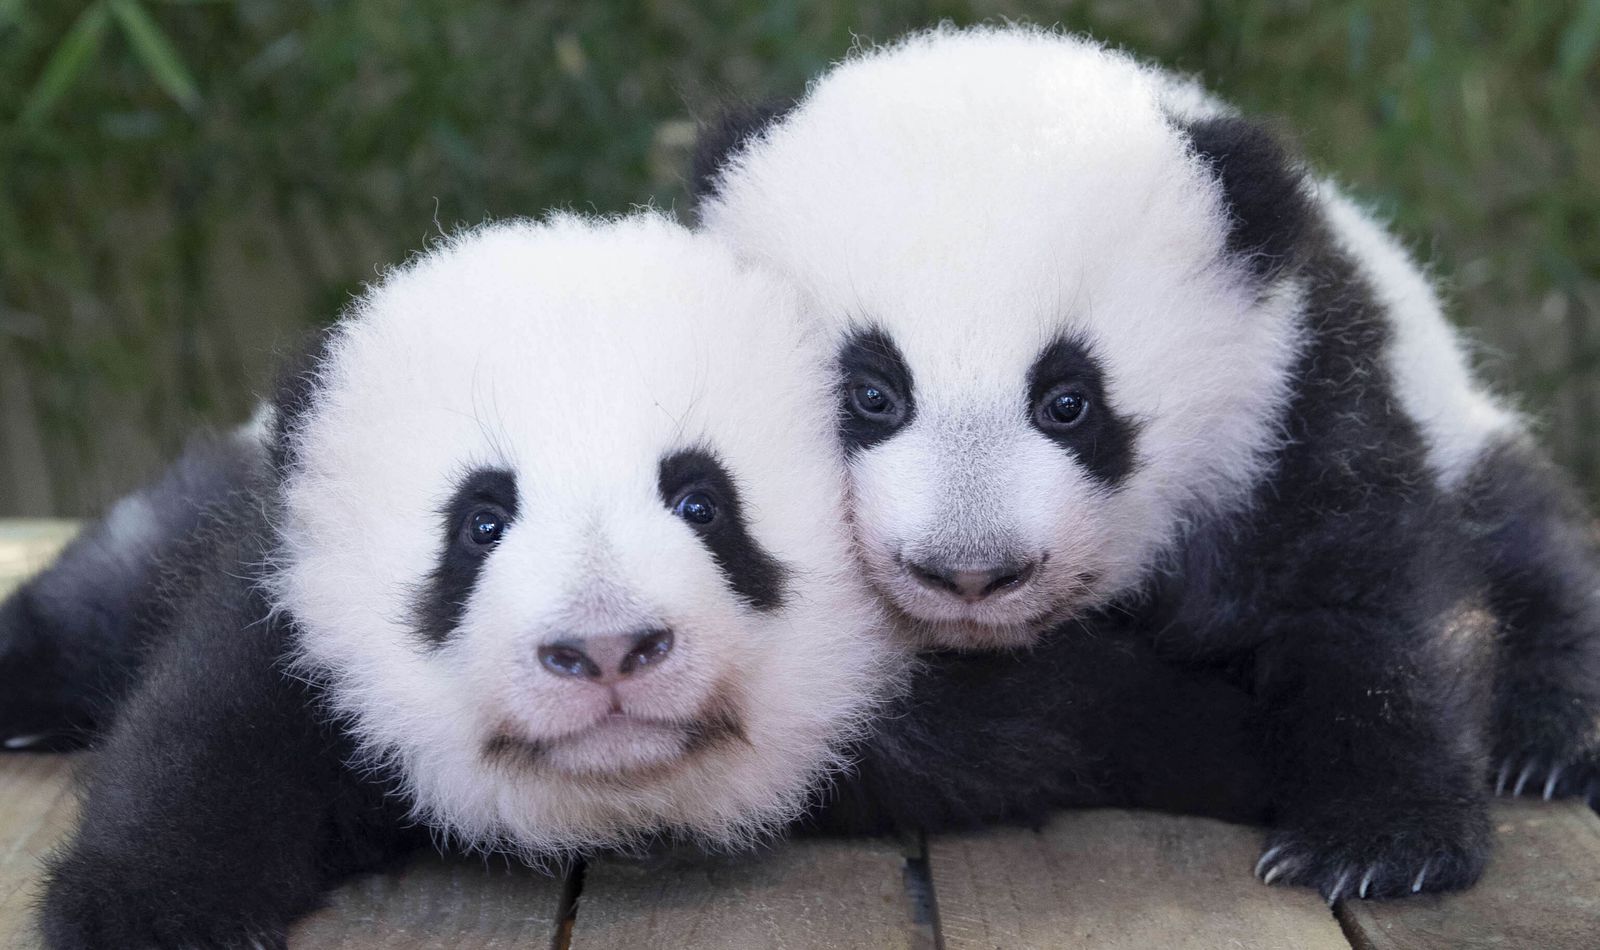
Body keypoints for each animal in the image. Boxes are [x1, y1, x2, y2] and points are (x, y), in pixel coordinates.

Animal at [28, 213, 909, 948]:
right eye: (480, 524)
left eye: (703, 505)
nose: (606, 649)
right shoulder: (292, 629)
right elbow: (208, 746)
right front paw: (143, 914)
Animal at [693, 24, 1600, 900]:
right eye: (872, 394)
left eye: (1069, 402)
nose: (971, 573)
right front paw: (1212, 739)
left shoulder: (1293, 395)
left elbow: (1373, 592)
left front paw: (1381, 841)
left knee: (1527, 538)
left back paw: (1552, 741)